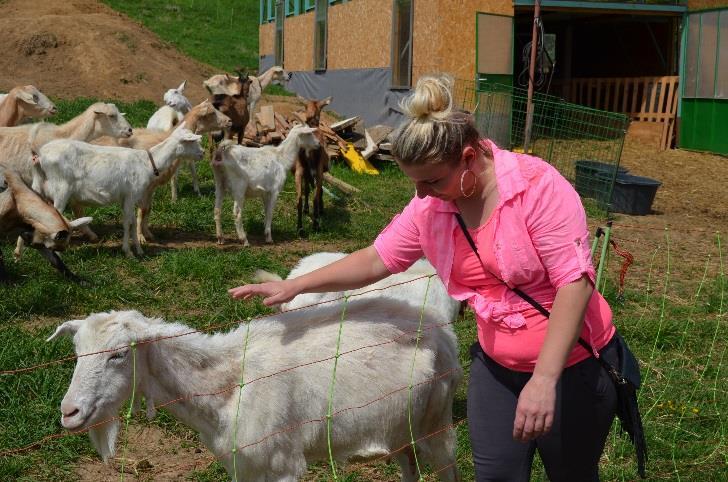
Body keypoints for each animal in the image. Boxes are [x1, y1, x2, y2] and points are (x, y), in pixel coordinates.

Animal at [292, 95, 332, 234]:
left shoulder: (306, 171)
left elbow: (307, 189)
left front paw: (306, 210)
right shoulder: (318, 171)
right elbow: (317, 191)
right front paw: (321, 210)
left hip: (299, 170)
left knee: (299, 197)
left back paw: (300, 228)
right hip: (318, 170)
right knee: (316, 195)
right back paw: (316, 225)